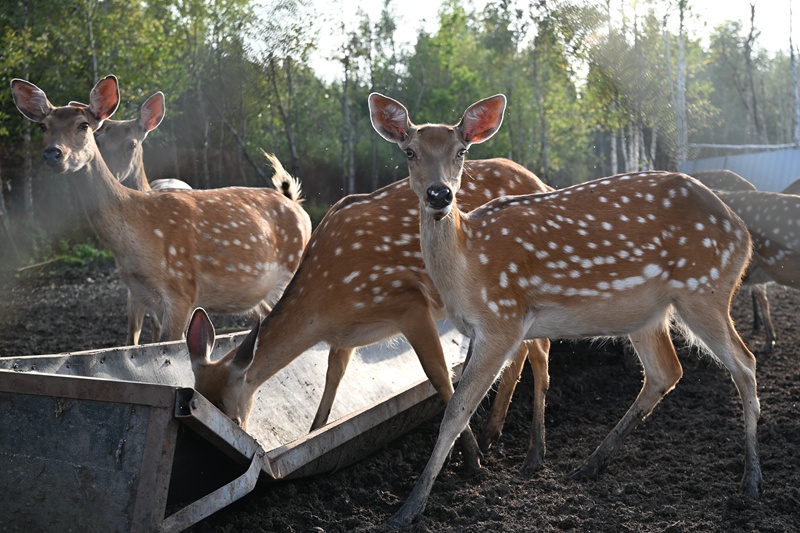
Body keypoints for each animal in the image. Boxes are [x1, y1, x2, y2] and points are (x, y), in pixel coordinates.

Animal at [11, 75, 312, 345]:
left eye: (83, 125)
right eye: (43, 126)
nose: (53, 153)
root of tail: (296, 205)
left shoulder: (182, 289)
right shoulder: (141, 294)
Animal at [186, 156, 553, 472]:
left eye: (234, 420)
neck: (325, 304)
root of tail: (540, 181)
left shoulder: (408, 303)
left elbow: (440, 378)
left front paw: (471, 459)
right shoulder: (344, 337)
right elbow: (331, 384)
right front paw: (313, 434)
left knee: (540, 351)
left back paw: (532, 452)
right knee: (523, 351)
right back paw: (495, 432)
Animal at [368, 92, 763, 527]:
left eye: (462, 151)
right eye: (409, 151)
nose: (439, 195)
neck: (467, 267)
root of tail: (743, 234)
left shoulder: (502, 318)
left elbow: (456, 410)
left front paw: (407, 510)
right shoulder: (480, 328)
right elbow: (460, 396)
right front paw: (468, 465)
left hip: (704, 288)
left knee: (745, 363)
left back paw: (751, 479)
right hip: (649, 312)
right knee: (666, 372)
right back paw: (588, 465)